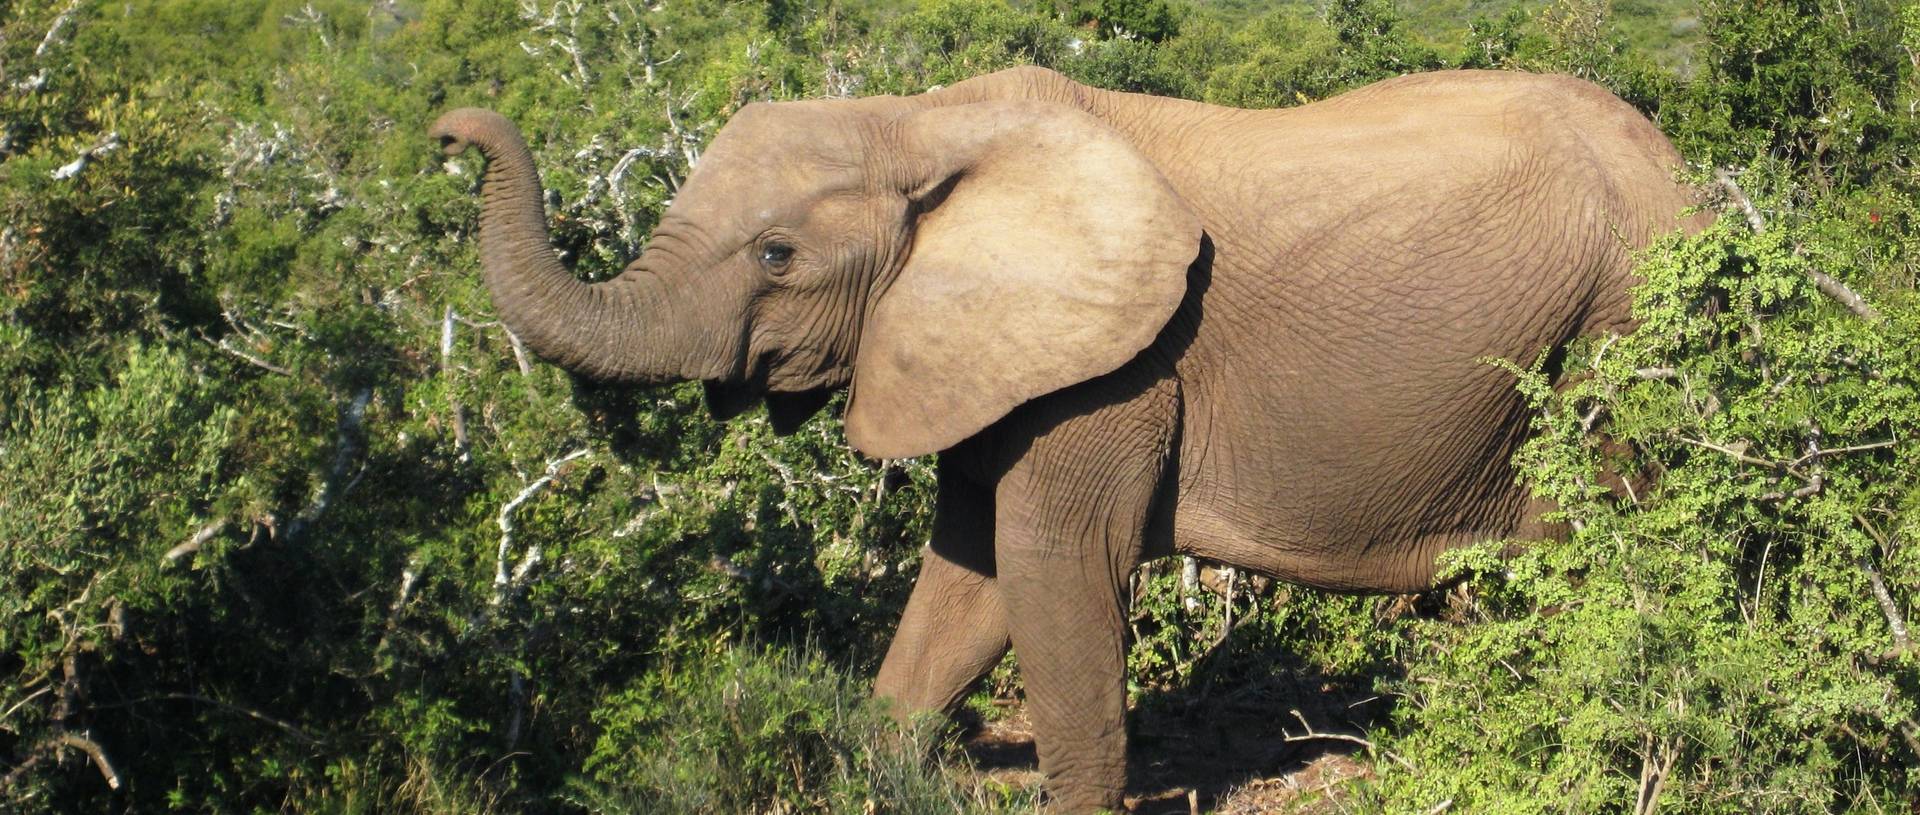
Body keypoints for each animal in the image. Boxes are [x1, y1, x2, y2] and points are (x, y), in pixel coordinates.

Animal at [428, 63, 1704, 807]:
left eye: (777, 254)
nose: (448, 134)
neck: (924, 123)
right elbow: (969, 573)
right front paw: (882, 769)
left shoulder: (1123, 362)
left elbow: (1052, 570)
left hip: (1619, 328)